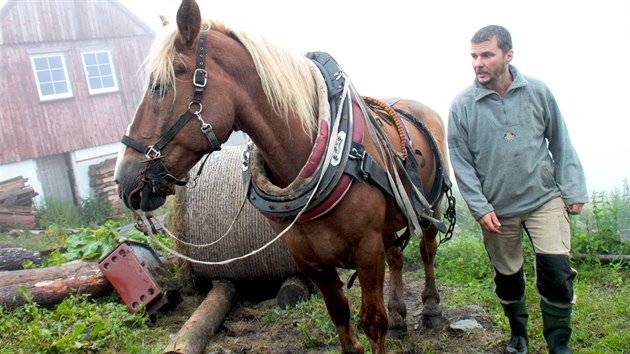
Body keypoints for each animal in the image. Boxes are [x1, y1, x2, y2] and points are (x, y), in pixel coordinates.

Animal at [115, 1, 454, 352]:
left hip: (428, 208)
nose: (124, 180)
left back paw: (431, 309)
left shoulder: (366, 248)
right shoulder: (308, 259)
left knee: (427, 248)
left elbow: (373, 321)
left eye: (159, 87)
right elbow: (339, 314)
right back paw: (400, 316)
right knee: (397, 256)